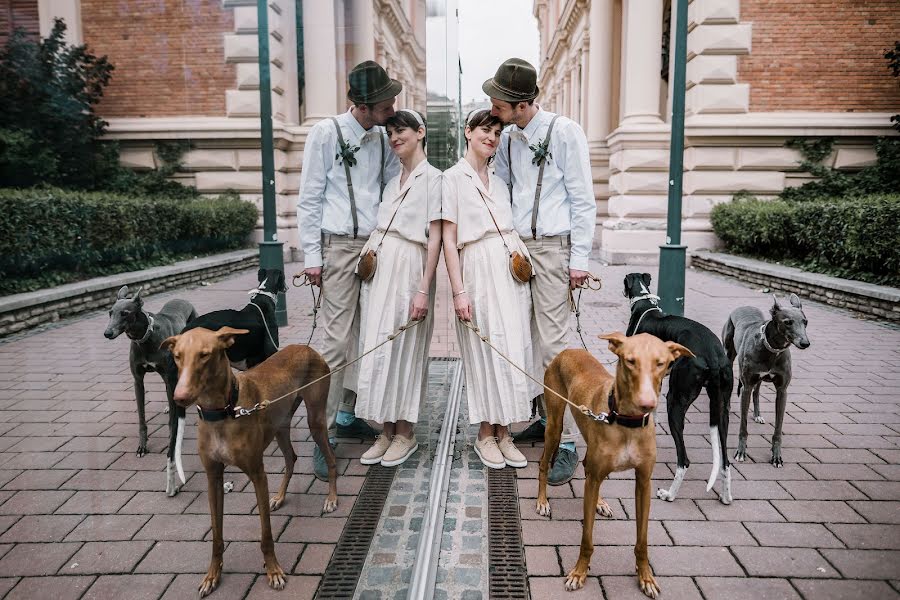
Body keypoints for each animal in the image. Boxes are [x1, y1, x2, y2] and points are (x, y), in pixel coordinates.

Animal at [105, 286, 197, 496]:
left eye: (125, 313)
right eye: (110, 312)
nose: (107, 333)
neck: (144, 339)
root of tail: (183, 299)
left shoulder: (169, 377)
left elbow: (173, 421)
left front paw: (173, 436)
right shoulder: (138, 381)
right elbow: (141, 418)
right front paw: (142, 447)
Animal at [162, 328, 338, 596]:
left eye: (205, 355)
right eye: (177, 356)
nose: (179, 397)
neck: (224, 412)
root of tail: (306, 347)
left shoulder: (258, 474)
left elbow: (266, 534)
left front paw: (273, 570)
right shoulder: (213, 478)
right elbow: (216, 536)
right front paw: (212, 575)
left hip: (315, 420)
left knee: (331, 458)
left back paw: (332, 498)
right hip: (281, 425)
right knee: (291, 458)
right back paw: (280, 497)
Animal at [536, 330, 692, 596]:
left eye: (661, 363)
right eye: (630, 361)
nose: (647, 404)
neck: (626, 421)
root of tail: (568, 350)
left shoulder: (644, 483)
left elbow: (642, 541)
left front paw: (645, 576)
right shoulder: (594, 479)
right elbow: (587, 539)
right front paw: (579, 573)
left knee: (587, 466)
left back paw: (600, 502)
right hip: (554, 425)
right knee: (544, 464)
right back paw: (542, 501)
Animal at [624, 274, 736, 504]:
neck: (644, 304)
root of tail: (713, 354)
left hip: (675, 400)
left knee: (684, 460)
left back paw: (669, 494)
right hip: (722, 407)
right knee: (726, 460)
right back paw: (726, 496)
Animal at [724, 292, 808, 466]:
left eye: (806, 322)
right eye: (788, 322)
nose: (805, 343)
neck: (773, 349)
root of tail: (743, 306)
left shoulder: (782, 391)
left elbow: (778, 429)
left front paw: (776, 456)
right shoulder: (746, 387)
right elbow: (743, 427)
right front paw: (741, 452)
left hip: (758, 380)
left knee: (757, 392)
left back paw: (757, 414)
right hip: (729, 354)